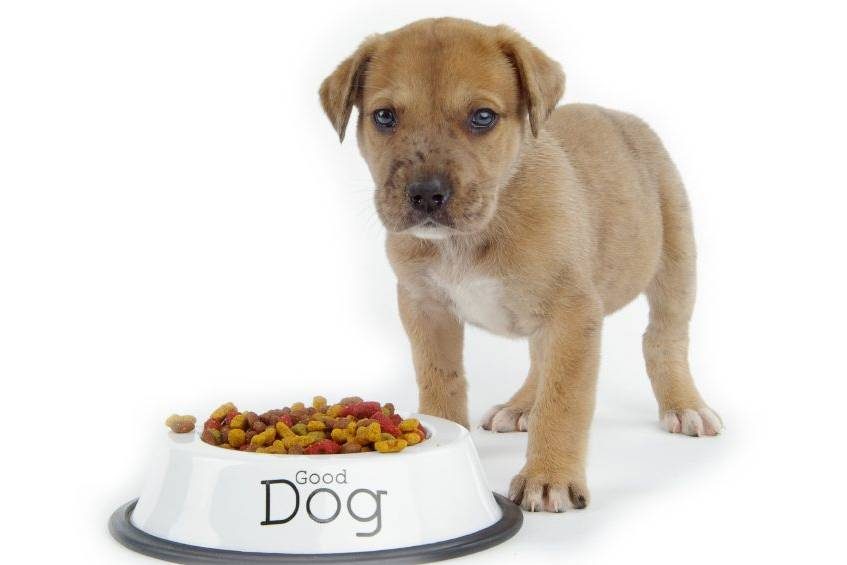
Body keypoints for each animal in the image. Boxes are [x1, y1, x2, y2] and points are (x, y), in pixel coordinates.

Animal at [320, 17, 724, 512]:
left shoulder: (573, 315)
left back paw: (684, 405)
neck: (470, 236)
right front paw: (443, 439)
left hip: (676, 261)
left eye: (483, 117)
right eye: (384, 117)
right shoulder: (425, 308)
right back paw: (521, 405)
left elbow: (563, 402)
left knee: (664, 339)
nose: (427, 194)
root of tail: (620, 115)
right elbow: (440, 379)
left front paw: (548, 477)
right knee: (538, 357)